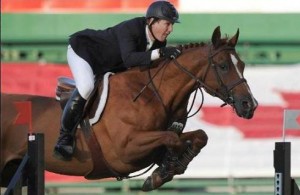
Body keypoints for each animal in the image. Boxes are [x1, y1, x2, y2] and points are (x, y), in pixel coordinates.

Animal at [0, 26, 258, 191]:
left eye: (243, 65)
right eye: (223, 66)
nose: (249, 105)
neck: (153, 94)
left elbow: (199, 136)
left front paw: (164, 171)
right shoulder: (126, 150)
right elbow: (172, 139)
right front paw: (163, 172)